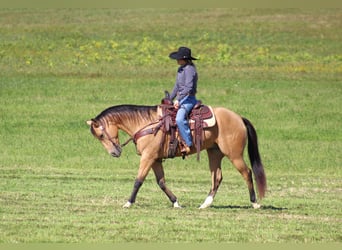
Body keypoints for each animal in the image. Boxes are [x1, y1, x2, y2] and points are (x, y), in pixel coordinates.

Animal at [86, 99, 268, 209]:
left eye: (101, 135)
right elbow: (161, 182)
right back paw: (205, 204)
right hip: (214, 153)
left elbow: (138, 180)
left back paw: (254, 203)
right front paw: (176, 202)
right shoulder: (156, 159)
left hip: (234, 154)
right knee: (217, 177)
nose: (115, 152)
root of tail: (239, 118)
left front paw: (128, 203)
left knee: (247, 172)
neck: (146, 124)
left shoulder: (148, 157)